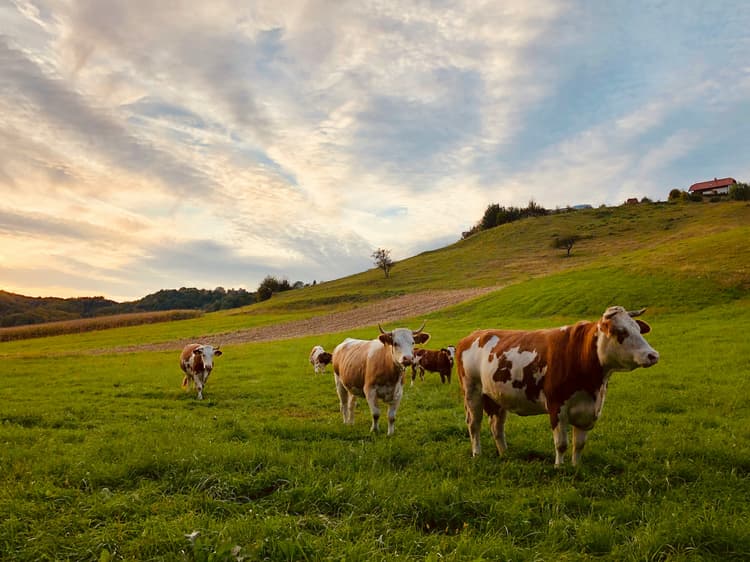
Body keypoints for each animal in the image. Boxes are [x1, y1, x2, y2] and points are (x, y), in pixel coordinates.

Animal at [456, 306, 659, 466]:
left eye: (638, 329)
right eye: (621, 331)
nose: (653, 355)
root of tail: (473, 335)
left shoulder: (589, 411)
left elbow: (579, 444)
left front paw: (576, 467)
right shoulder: (556, 407)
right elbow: (561, 444)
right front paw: (559, 467)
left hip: (496, 396)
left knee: (496, 426)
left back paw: (505, 454)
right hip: (472, 392)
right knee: (474, 424)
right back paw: (477, 453)